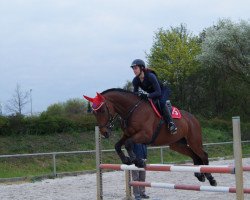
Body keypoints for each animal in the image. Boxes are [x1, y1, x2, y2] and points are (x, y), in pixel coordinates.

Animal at [83, 88, 217, 186]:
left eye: (102, 111)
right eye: (94, 112)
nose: (104, 133)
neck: (132, 110)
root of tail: (193, 118)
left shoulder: (145, 135)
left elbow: (128, 143)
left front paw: (137, 161)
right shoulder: (127, 134)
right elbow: (118, 145)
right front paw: (127, 160)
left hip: (194, 141)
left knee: (203, 155)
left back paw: (211, 178)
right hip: (177, 145)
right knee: (194, 156)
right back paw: (199, 175)